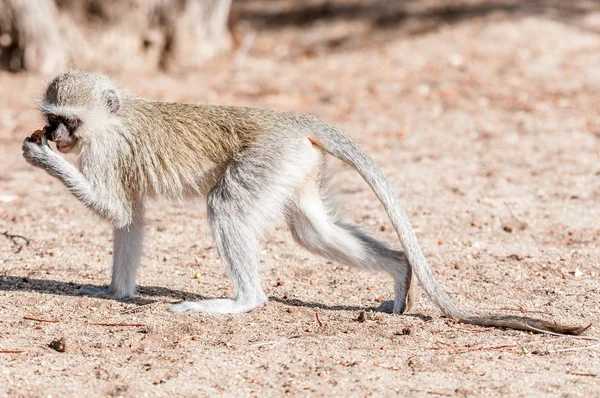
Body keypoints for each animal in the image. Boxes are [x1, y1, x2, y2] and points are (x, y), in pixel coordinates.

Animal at [21, 70, 588, 334]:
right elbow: (130, 219)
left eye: (66, 120)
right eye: (52, 116)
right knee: (312, 230)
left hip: (267, 159)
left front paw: (42, 158)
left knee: (227, 206)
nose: (54, 135)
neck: (109, 121)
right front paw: (116, 292)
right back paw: (400, 272)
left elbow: (117, 210)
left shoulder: (105, 152)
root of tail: (292, 121)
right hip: (293, 167)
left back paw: (242, 301)